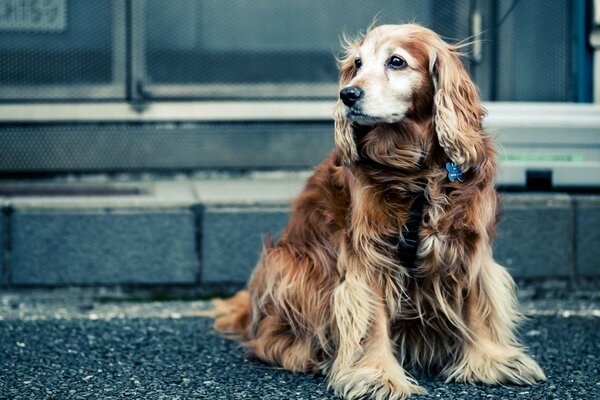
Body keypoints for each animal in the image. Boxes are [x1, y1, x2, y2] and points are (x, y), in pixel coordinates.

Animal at [210, 24, 544, 400]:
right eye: (357, 63)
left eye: (396, 61)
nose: (347, 94)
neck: (416, 172)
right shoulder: (369, 253)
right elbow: (370, 319)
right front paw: (378, 376)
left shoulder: (468, 242)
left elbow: (478, 304)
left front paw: (492, 360)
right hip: (289, 264)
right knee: (273, 339)